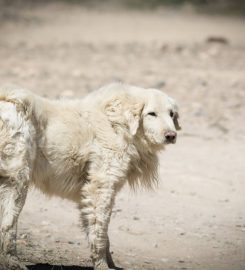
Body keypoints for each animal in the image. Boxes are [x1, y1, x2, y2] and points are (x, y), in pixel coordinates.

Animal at [0, 83, 180, 268]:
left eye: (171, 114)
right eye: (152, 113)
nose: (171, 135)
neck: (118, 124)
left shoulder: (89, 193)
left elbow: (101, 233)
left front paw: (110, 264)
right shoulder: (101, 188)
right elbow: (100, 231)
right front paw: (102, 265)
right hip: (17, 181)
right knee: (8, 225)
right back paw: (13, 262)